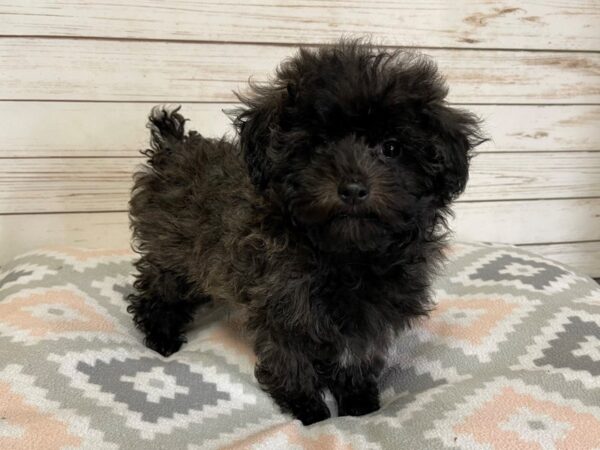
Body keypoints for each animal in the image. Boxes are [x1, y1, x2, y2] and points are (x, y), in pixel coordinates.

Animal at [126, 39, 482, 426]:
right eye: (318, 145)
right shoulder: (280, 303)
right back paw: (161, 335)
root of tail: (174, 147)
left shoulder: (369, 313)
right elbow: (289, 358)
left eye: (391, 147)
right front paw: (308, 409)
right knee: (158, 288)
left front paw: (357, 402)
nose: (353, 188)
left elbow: (356, 354)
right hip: (171, 250)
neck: (346, 253)